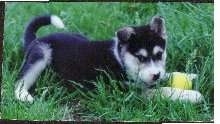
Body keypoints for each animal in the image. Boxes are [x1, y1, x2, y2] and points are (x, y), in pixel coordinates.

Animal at [15, 15, 167, 103]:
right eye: (140, 57)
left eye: (159, 54)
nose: (156, 75)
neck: (120, 59)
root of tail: (35, 40)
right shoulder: (126, 90)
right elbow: (159, 91)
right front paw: (173, 94)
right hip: (41, 54)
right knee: (19, 82)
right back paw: (24, 96)